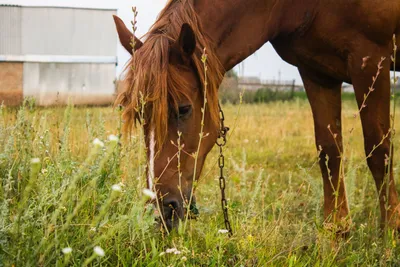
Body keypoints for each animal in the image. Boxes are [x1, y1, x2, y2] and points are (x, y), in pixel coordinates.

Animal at [112, 0, 400, 232]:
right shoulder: (317, 72)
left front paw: (389, 233)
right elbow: (329, 153)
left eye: (183, 109)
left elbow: (379, 152)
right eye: (139, 115)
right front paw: (336, 232)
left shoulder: (370, 58)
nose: (161, 211)